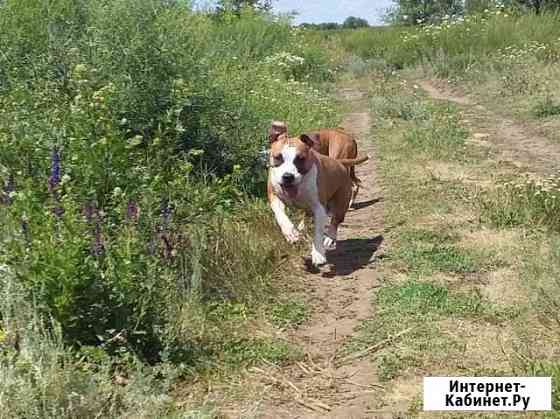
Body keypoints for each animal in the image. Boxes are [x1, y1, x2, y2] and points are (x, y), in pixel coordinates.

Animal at [270, 133, 370, 268]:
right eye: (278, 157)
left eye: (300, 158)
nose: (288, 176)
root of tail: (338, 162)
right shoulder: (274, 197)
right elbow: (280, 215)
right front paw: (290, 233)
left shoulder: (319, 208)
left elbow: (317, 232)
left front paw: (318, 255)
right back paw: (301, 229)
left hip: (340, 201)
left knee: (336, 221)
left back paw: (329, 238)